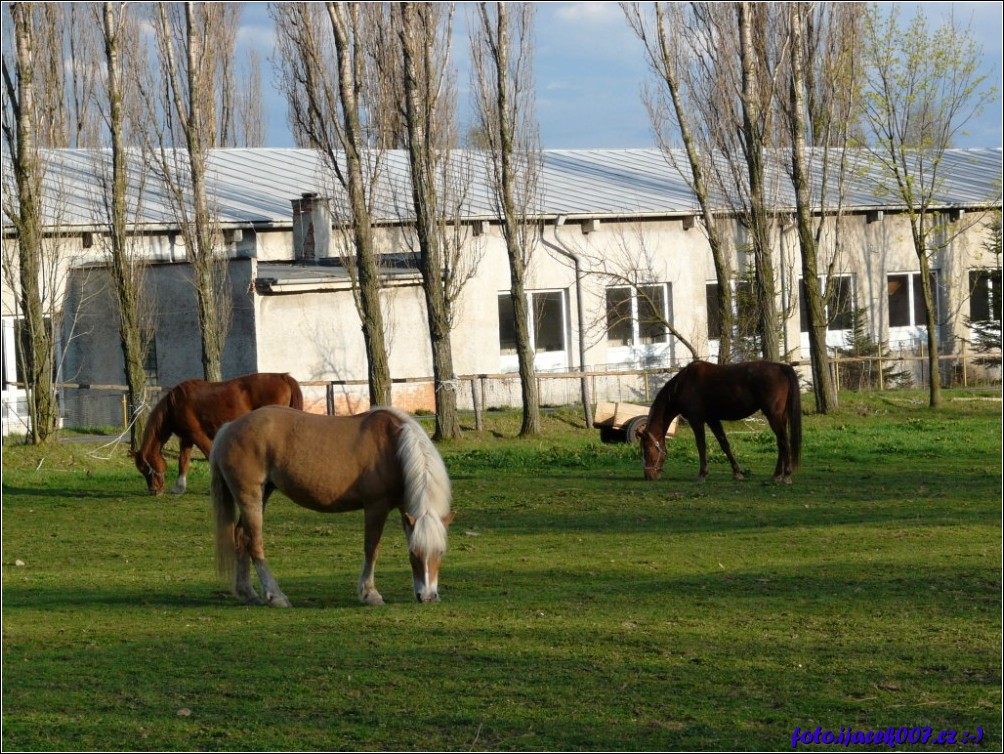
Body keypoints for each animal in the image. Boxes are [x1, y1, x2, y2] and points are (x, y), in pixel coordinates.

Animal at [132, 371, 301, 495]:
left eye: (146, 469)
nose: (154, 491)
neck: (174, 405)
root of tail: (283, 376)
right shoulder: (187, 438)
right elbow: (183, 461)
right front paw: (179, 488)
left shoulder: (198, 435)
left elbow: (208, 456)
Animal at [209, 407, 457, 606]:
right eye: (413, 554)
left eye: (441, 552)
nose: (427, 596)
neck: (394, 447)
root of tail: (228, 428)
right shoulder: (376, 506)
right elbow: (372, 548)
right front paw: (370, 593)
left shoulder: (404, 509)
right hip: (250, 496)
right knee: (254, 542)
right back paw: (275, 596)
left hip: (262, 494)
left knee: (241, 537)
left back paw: (248, 593)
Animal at [638, 363, 803, 483]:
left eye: (647, 450)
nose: (648, 475)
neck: (683, 385)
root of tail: (781, 367)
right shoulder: (713, 419)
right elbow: (725, 444)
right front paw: (737, 473)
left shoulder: (696, 420)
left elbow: (701, 446)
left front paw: (702, 474)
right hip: (779, 417)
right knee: (781, 444)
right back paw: (777, 475)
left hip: (774, 416)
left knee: (784, 442)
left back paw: (786, 475)